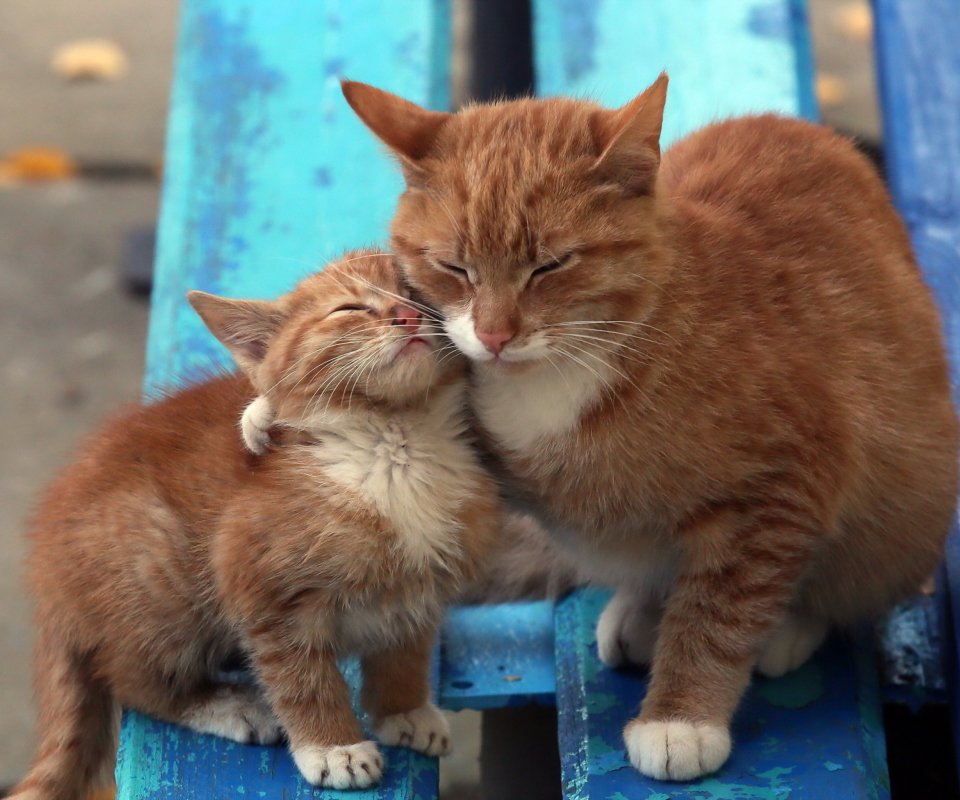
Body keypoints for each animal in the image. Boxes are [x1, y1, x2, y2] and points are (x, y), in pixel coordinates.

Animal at [11, 252, 498, 800]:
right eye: (350, 308)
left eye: (417, 294)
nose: (408, 316)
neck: (396, 443)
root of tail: (47, 579)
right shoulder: (260, 583)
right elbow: (302, 677)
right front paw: (333, 746)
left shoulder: (421, 586)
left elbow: (406, 652)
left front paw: (403, 708)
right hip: (160, 572)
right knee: (132, 679)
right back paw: (228, 704)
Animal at [340, 76, 960, 780]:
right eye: (454, 268)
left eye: (550, 266)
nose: (495, 336)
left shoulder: (781, 492)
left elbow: (720, 610)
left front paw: (682, 718)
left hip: (906, 512)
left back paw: (786, 626)